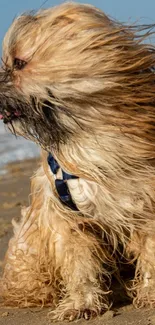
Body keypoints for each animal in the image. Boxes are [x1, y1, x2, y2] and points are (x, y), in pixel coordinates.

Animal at [0, 1, 155, 322]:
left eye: (18, 63)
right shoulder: (65, 217)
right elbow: (79, 262)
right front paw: (81, 304)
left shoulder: (145, 204)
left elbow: (151, 251)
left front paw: (150, 293)